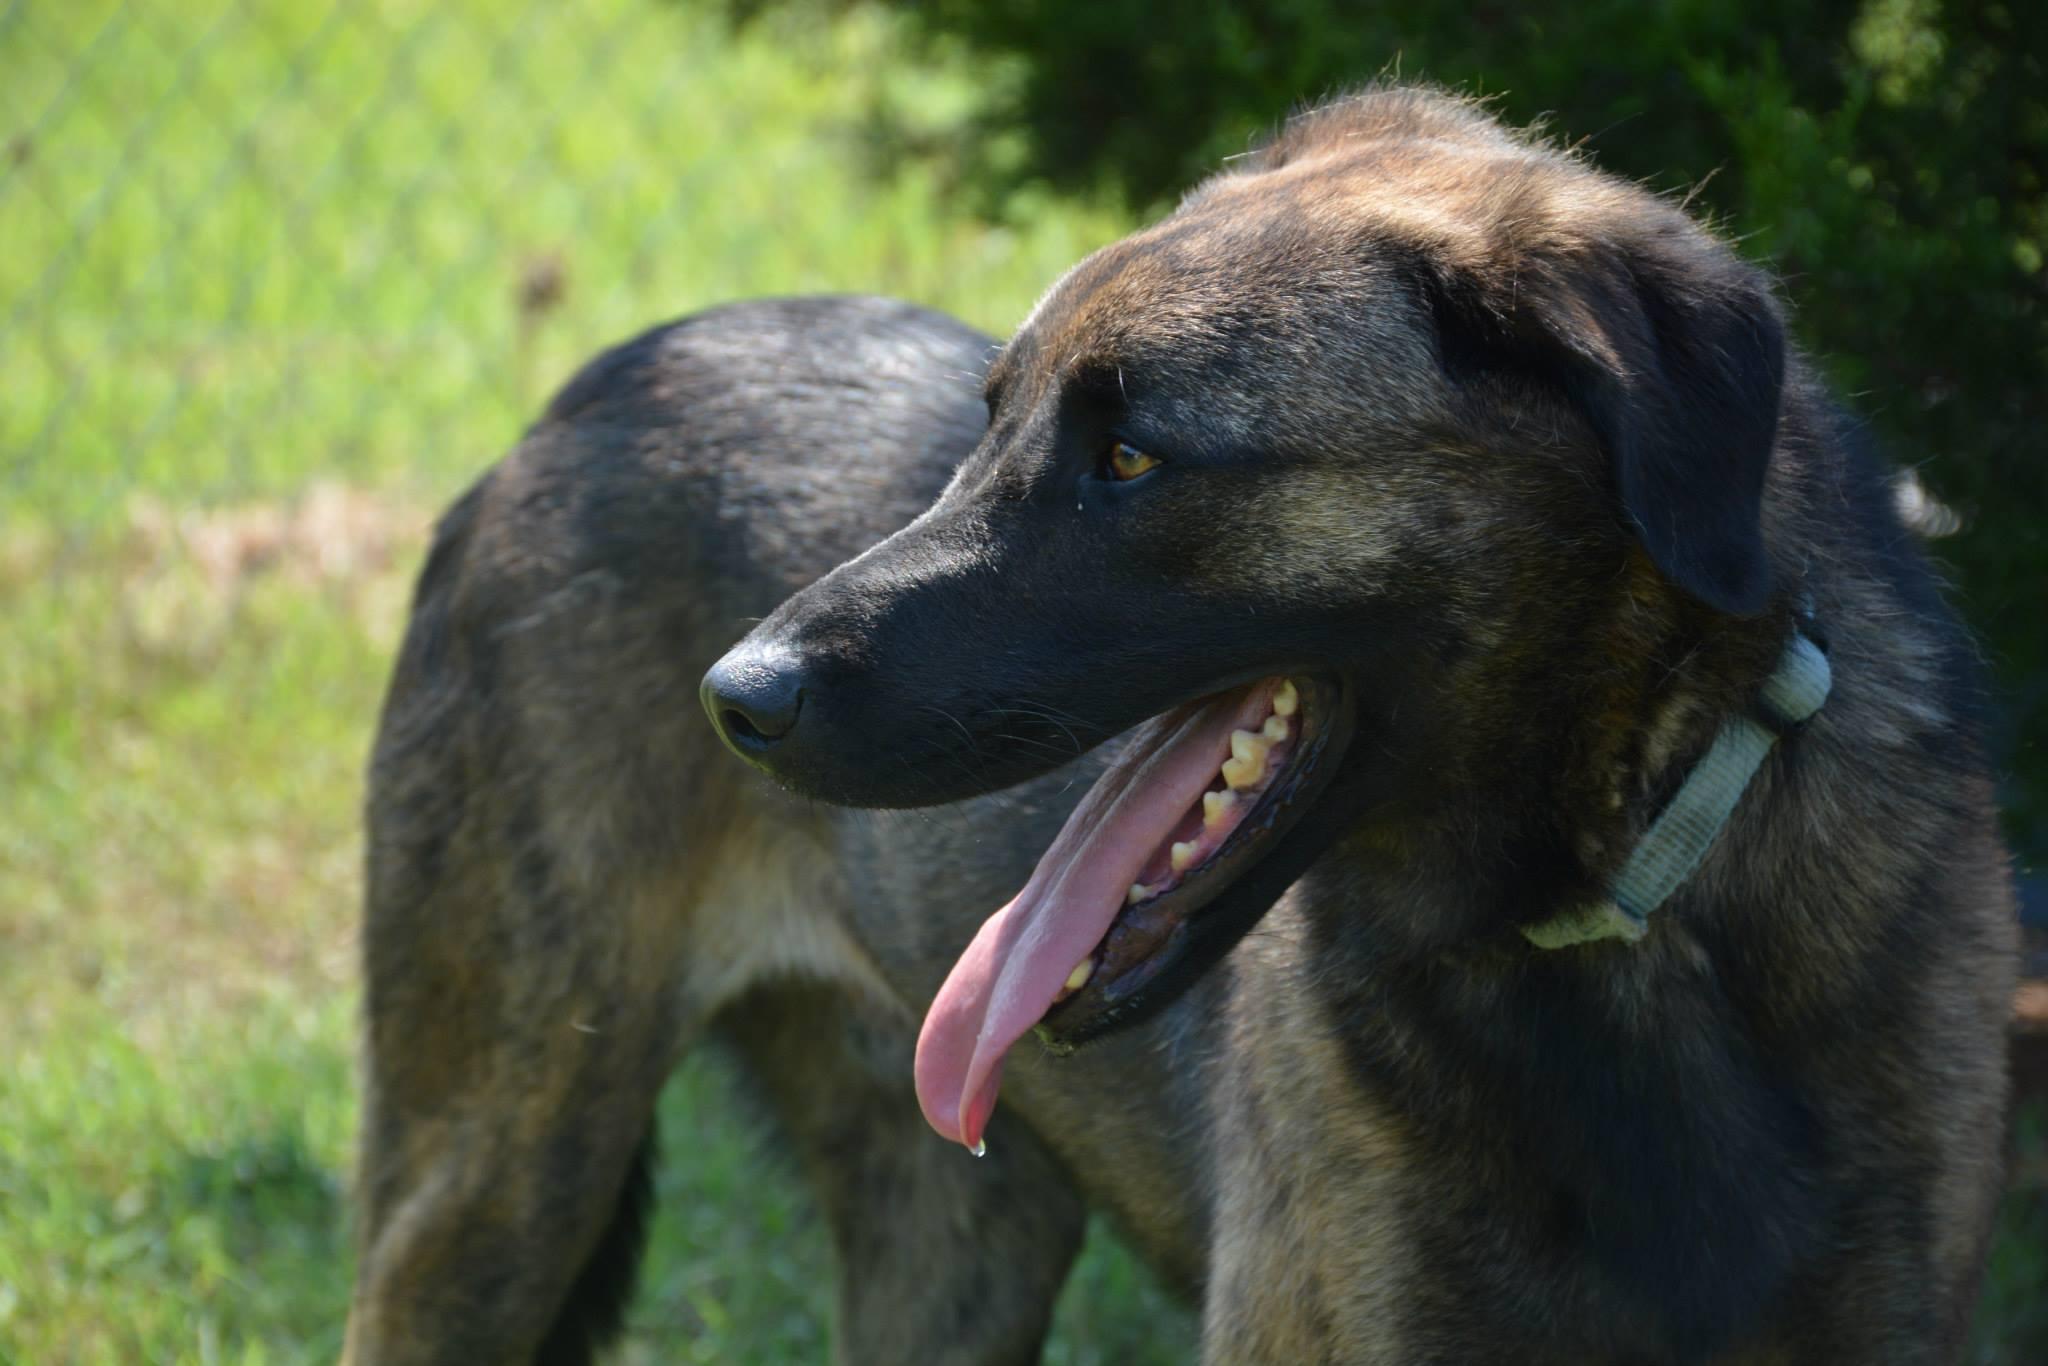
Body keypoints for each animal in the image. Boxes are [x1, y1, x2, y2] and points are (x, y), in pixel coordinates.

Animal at [348, 88, 2015, 1366]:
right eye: (991, 421)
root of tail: (572, 405)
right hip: (490, 1179)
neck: (1611, 921)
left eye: (1132, 457)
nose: (735, 697)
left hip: (958, 1240)